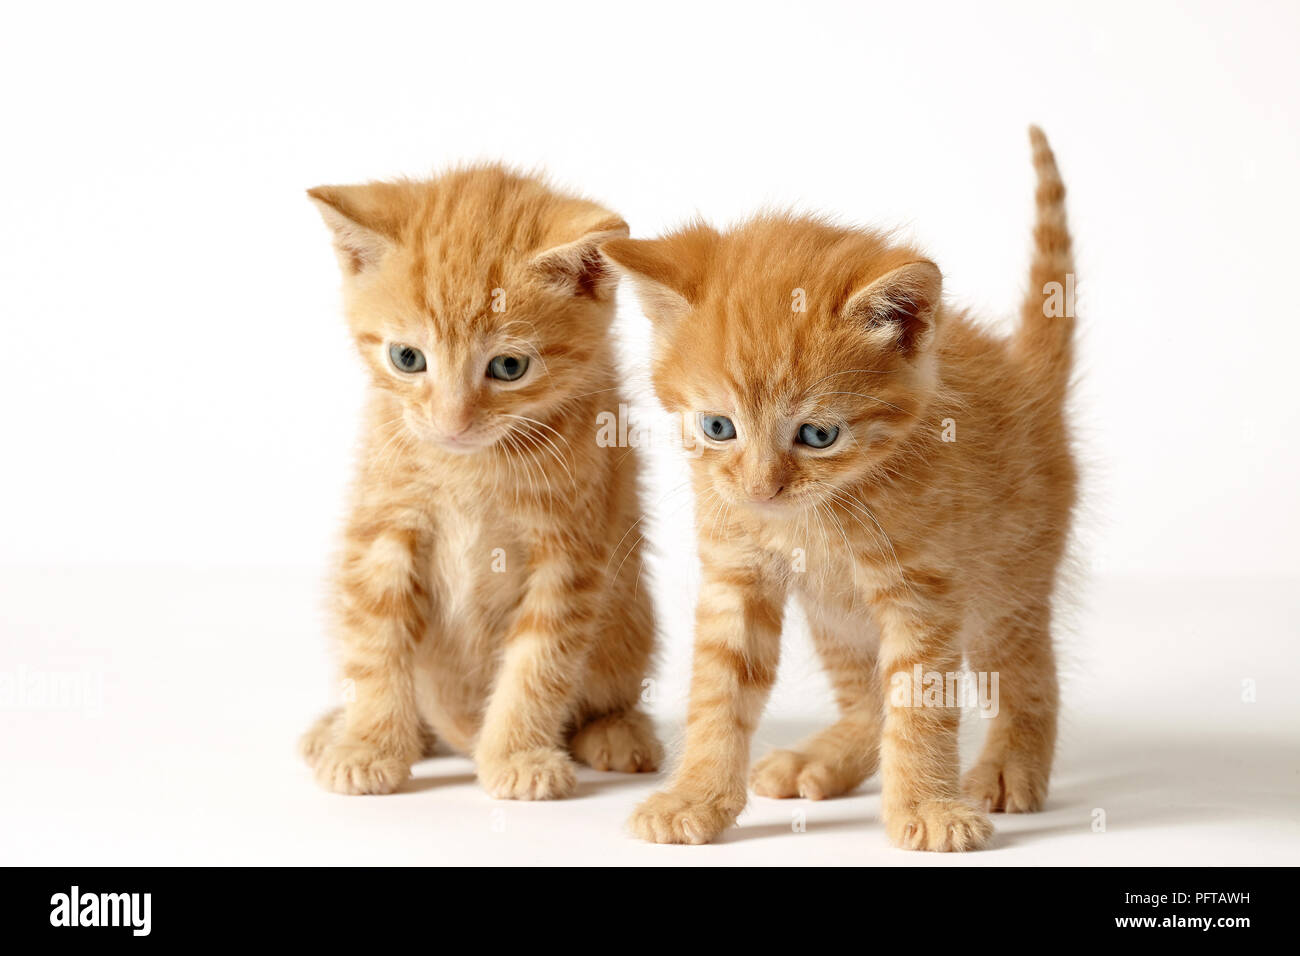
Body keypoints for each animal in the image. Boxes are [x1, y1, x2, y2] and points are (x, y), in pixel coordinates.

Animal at [301, 166, 660, 801]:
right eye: (407, 358)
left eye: (509, 367)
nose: (452, 423)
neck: (469, 466)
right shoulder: (383, 527)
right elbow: (373, 641)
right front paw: (368, 744)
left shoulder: (570, 550)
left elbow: (540, 661)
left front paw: (517, 755)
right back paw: (344, 727)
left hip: (630, 613)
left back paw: (619, 730)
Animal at [603, 128, 1081, 853]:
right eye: (718, 427)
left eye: (818, 435)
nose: (763, 487)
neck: (814, 517)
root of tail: (1026, 378)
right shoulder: (737, 569)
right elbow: (719, 689)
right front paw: (695, 797)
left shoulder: (923, 589)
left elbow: (920, 702)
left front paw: (928, 809)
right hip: (836, 616)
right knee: (868, 698)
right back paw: (822, 759)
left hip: (1010, 577)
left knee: (1030, 671)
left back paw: (1012, 765)